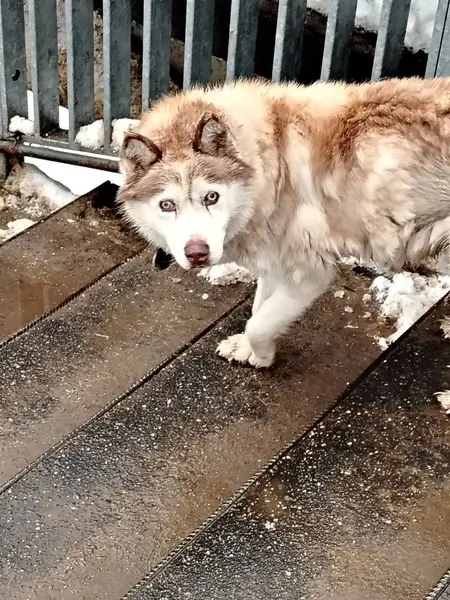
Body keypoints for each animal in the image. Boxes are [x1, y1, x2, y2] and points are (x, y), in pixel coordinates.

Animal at [117, 77, 450, 400]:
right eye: (167, 205)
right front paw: (246, 349)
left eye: (211, 197)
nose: (197, 253)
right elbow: (259, 309)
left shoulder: (311, 272)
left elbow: (259, 324)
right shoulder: (275, 260)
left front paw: (262, 355)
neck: (271, 162)